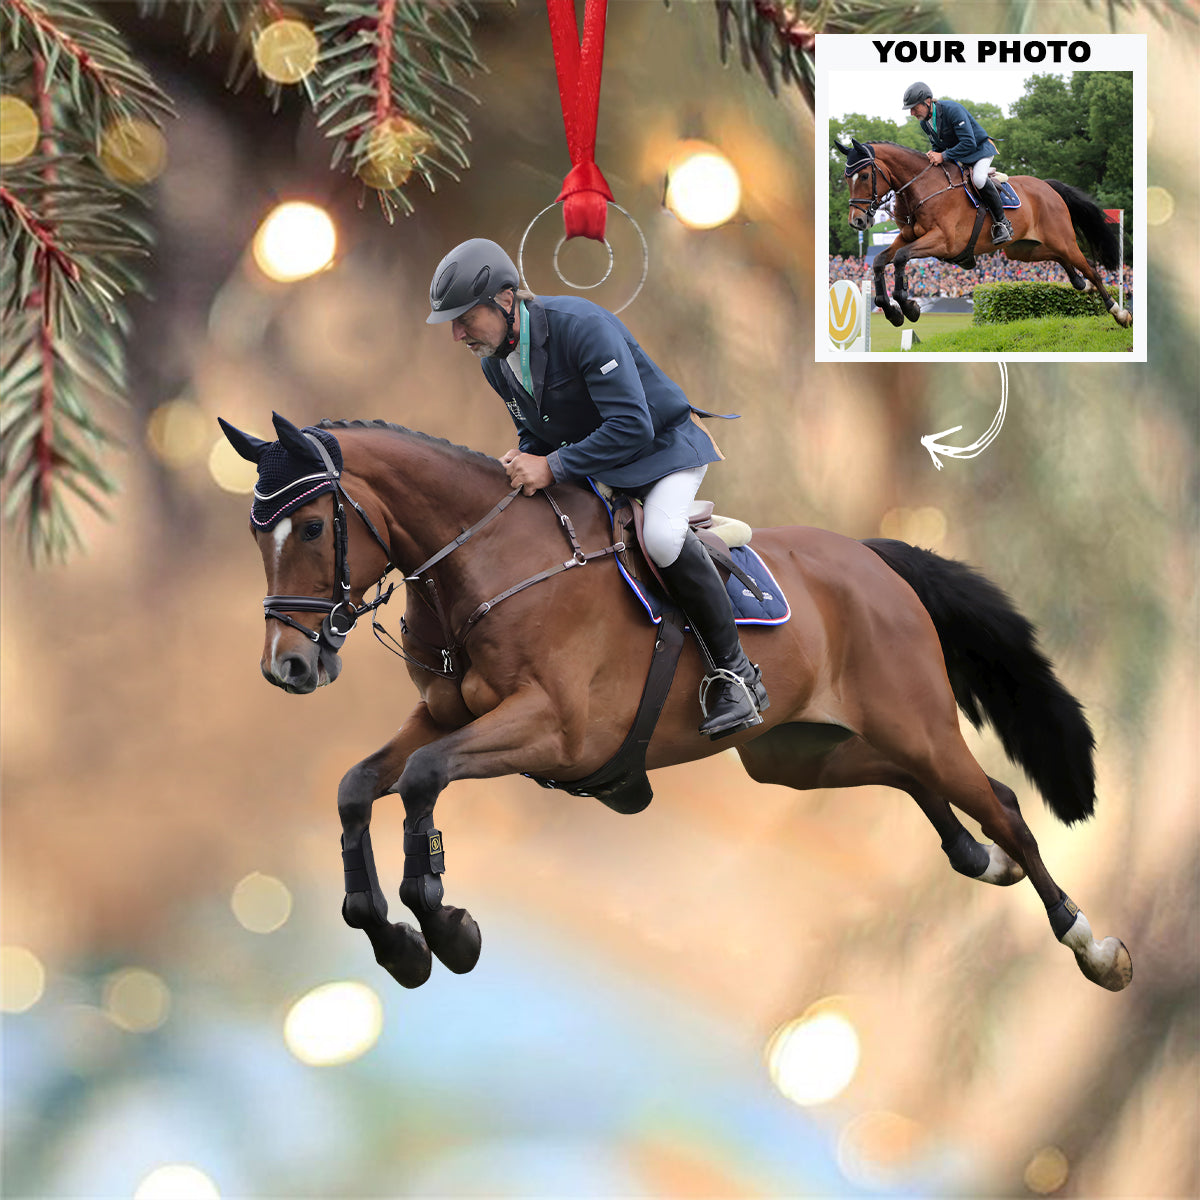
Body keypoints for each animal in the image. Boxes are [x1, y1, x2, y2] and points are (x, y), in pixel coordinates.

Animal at [219, 411, 1133, 993]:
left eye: (310, 528)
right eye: (255, 533)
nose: (287, 667)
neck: (485, 563)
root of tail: (872, 558)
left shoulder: (552, 731)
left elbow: (420, 781)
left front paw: (446, 930)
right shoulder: (444, 716)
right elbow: (359, 787)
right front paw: (396, 944)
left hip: (914, 722)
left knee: (1003, 802)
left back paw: (1091, 943)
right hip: (797, 754)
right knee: (919, 784)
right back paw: (980, 859)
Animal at [833, 138, 1132, 330]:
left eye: (863, 176)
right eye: (847, 178)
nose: (857, 221)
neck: (921, 188)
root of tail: (1047, 186)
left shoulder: (943, 242)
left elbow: (901, 258)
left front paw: (909, 307)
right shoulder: (906, 237)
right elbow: (880, 261)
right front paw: (891, 311)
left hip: (1061, 239)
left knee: (1091, 266)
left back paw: (1118, 312)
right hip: (1024, 249)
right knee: (1062, 259)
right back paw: (1080, 283)